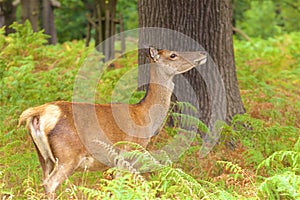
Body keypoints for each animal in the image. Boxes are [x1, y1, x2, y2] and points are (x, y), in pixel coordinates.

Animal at [18, 46, 206, 197]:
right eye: (173, 54)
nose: (203, 53)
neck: (145, 117)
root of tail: (39, 113)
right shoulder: (127, 153)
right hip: (68, 155)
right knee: (50, 183)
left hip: (43, 157)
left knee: (43, 181)